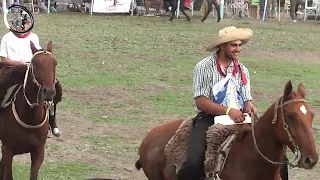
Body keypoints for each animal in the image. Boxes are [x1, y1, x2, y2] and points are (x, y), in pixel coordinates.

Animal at [0, 41, 60, 180]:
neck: (30, 117)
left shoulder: (38, 152)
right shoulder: (7, 151)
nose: (49, 92)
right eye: (35, 63)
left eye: (54, 63)